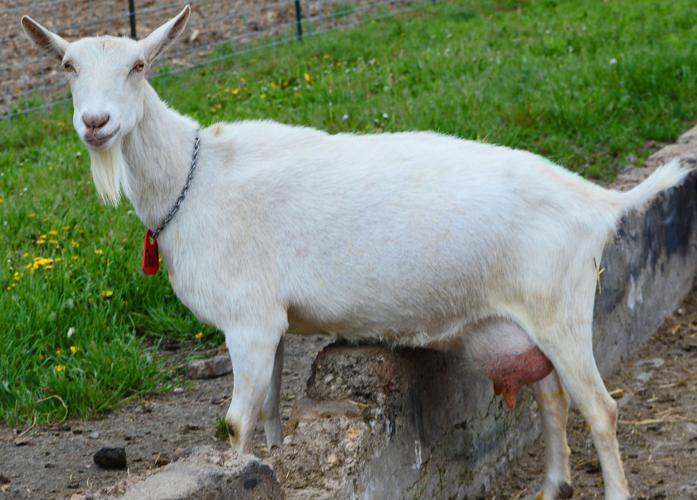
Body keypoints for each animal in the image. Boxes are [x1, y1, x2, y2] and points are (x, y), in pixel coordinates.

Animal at [21, 6, 691, 499]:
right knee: (551, 396)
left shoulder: (248, 320)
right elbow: (271, 417)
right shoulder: (273, 324)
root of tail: (598, 201)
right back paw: (552, 486)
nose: (96, 123)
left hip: (561, 309)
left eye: (139, 65)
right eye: (67, 67)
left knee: (600, 409)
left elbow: (236, 425)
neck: (195, 177)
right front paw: (276, 463)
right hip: (525, 318)